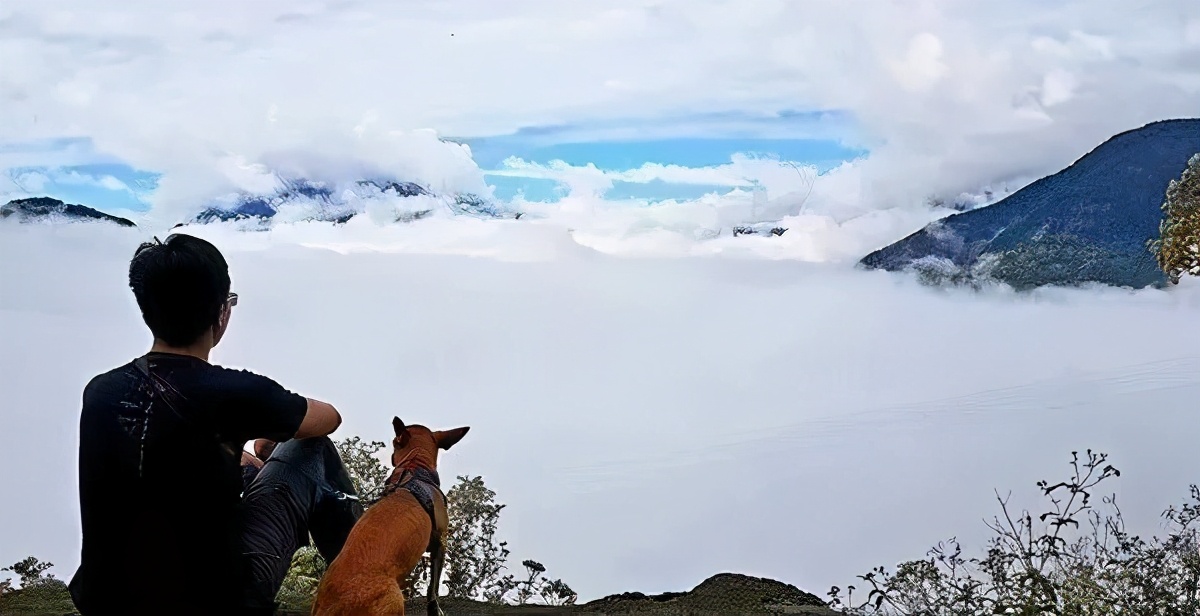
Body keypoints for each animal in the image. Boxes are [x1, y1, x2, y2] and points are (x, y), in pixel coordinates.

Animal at [312, 417, 465, 614]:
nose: (392, 457)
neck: (415, 468)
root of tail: (331, 608)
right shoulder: (441, 542)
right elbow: (433, 589)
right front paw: (435, 609)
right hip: (395, 599)